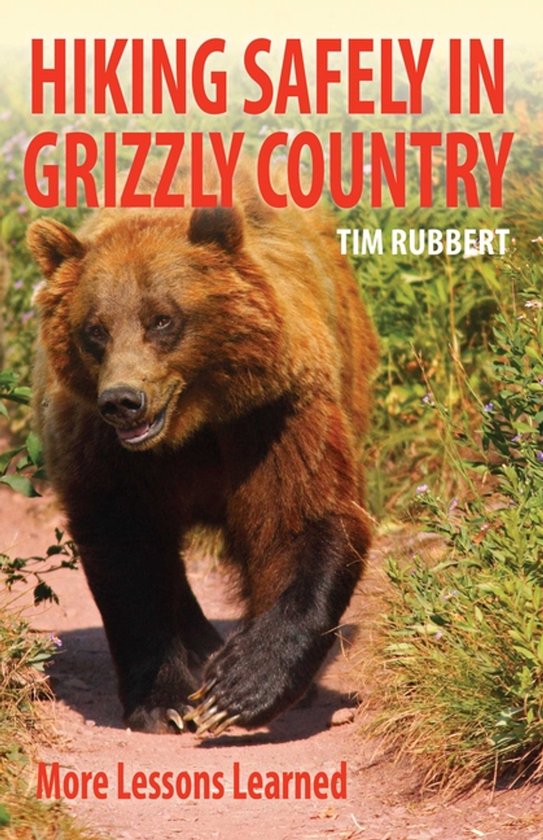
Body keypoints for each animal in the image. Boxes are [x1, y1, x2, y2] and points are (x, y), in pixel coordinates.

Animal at [26, 164, 378, 736]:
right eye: (94, 329)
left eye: (162, 319)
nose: (123, 401)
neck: (193, 423)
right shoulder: (102, 448)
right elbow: (127, 549)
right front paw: (162, 701)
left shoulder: (274, 413)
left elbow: (303, 517)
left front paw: (240, 687)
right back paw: (199, 647)